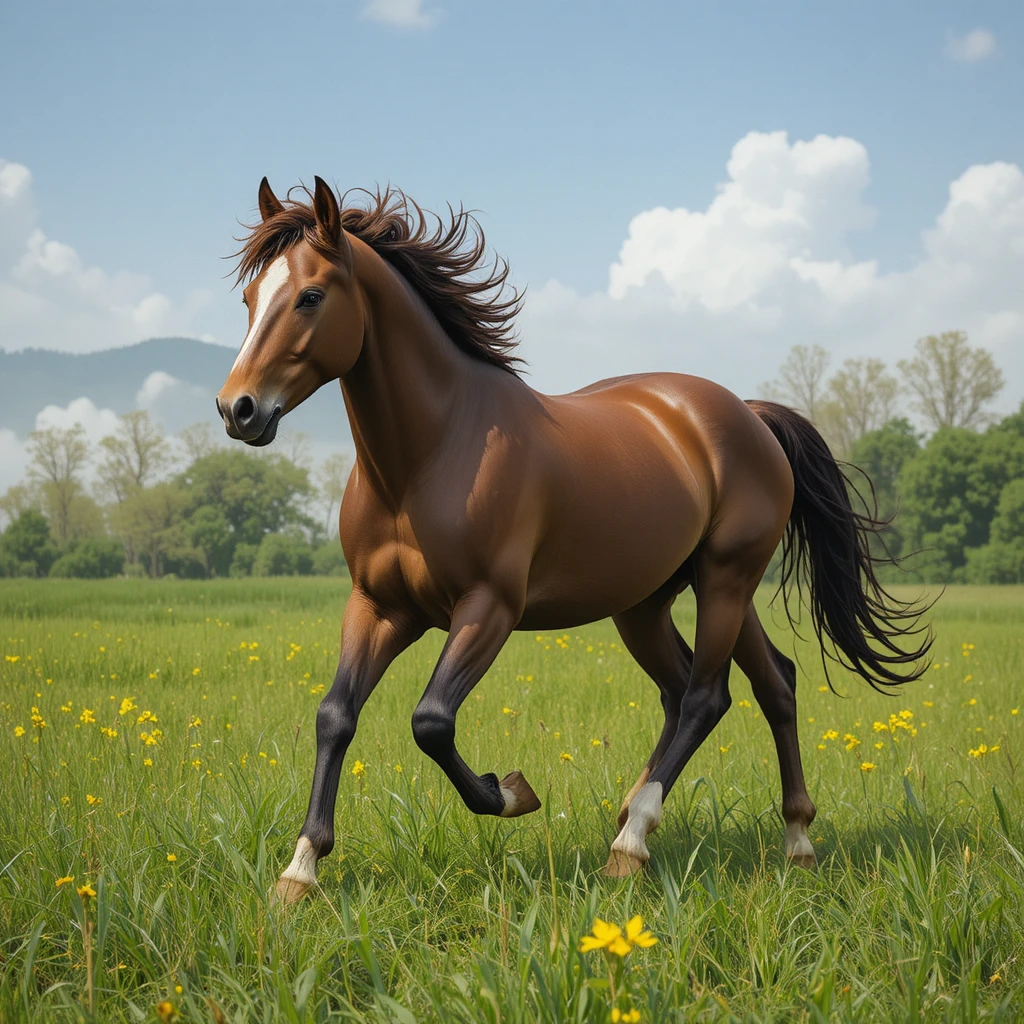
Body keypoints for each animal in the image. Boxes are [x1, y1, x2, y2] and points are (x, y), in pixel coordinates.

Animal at [216, 176, 931, 904]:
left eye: (310, 296)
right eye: (250, 298)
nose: (237, 409)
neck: (430, 455)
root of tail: (750, 416)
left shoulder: (488, 608)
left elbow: (431, 720)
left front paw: (511, 792)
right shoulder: (379, 606)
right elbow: (335, 714)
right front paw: (299, 871)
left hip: (726, 579)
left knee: (706, 696)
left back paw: (632, 840)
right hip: (653, 601)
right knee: (756, 684)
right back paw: (788, 839)